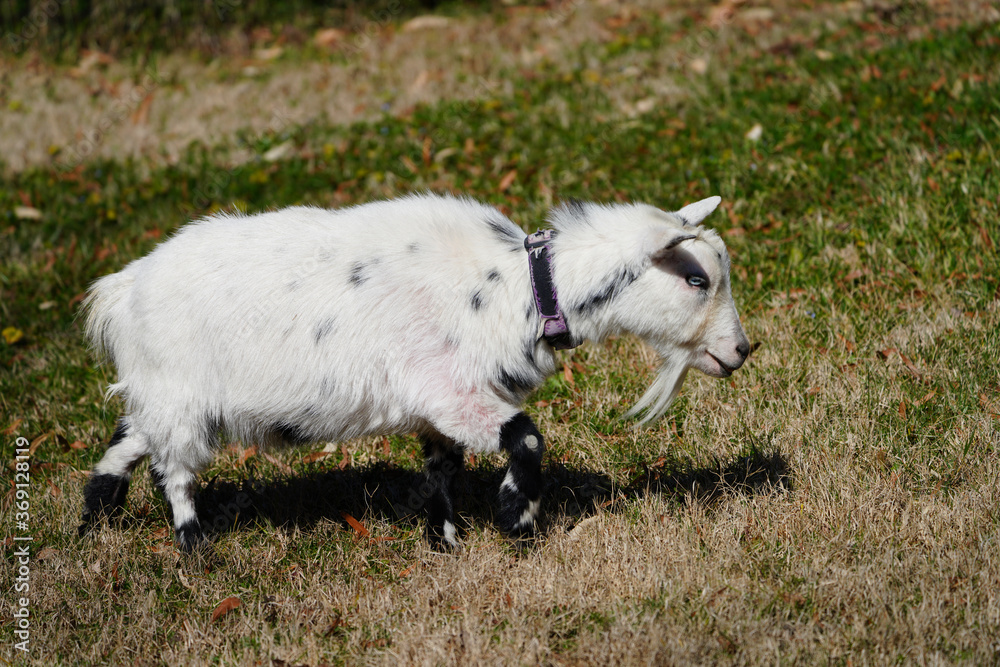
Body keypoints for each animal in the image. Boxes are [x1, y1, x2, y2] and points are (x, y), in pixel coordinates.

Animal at [78, 193, 749, 551]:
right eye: (696, 279)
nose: (743, 350)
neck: (517, 287)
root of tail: (124, 289)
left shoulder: (437, 406)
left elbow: (442, 466)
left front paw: (446, 538)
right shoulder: (449, 388)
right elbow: (526, 436)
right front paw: (516, 517)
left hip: (165, 396)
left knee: (127, 439)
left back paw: (94, 520)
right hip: (182, 397)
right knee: (174, 470)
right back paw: (193, 547)